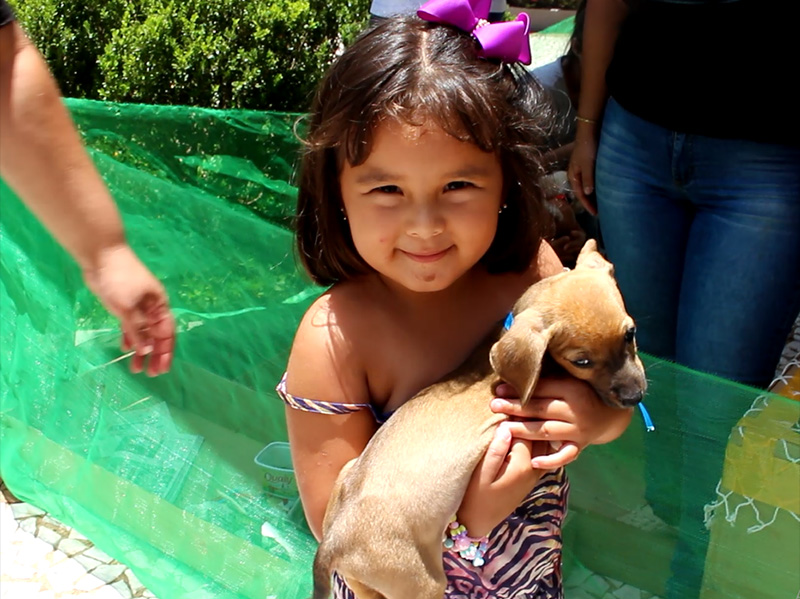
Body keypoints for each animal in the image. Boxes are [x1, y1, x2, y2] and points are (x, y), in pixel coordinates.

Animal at [310, 240, 648, 599]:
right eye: (581, 361)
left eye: (630, 333)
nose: (634, 397)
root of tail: (333, 543)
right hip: (422, 584)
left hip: (361, 567)